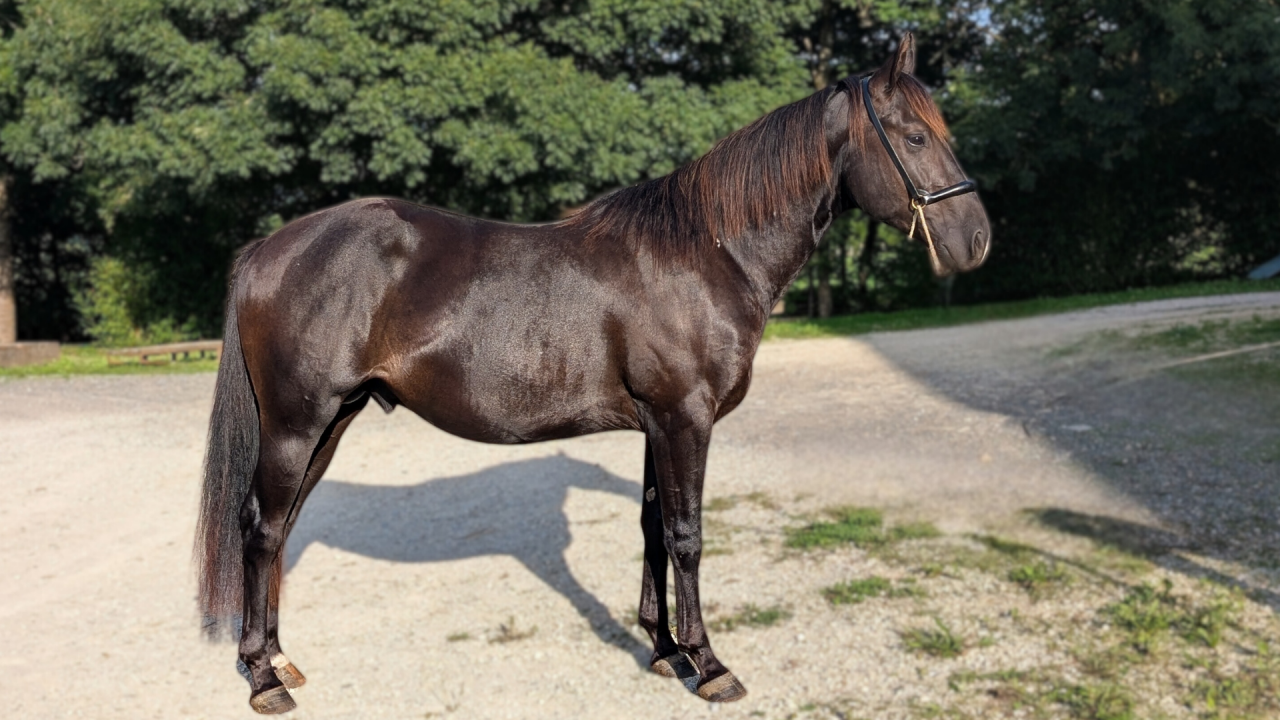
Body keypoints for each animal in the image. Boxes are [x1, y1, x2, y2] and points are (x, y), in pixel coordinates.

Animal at [196, 33, 990, 714]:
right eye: (915, 137)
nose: (976, 240)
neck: (707, 252)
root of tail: (270, 247)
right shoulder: (684, 418)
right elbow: (687, 535)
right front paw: (712, 666)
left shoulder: (658, 425)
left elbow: (653, 528)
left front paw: (666, 650)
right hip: (297, 424)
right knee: (262, 529)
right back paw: (264, 678)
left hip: (331, 421)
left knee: (279, 528)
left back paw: (278, 658)